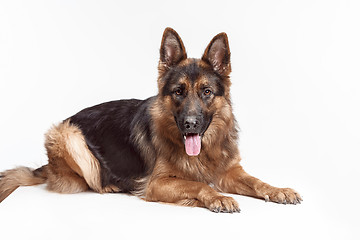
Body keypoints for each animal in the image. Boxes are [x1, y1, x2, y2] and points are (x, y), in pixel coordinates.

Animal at [0, 27, 302, 212]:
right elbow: (197, 183)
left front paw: (279, 190)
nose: (190, 124)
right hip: (69, 136)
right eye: (178, 92)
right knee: (87, 181)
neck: (203, 152)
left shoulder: (230, 172)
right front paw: (216, 197)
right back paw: (111, 184)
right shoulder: (158, 183)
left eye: (206, 92)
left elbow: (257, 181)